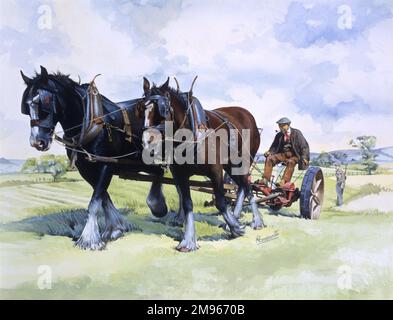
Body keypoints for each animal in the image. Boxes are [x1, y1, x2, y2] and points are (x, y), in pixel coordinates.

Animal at [19, 65, 168, 250]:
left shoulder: (106, 165)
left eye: (43, 103)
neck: (90, 120)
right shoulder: (87, 169)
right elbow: (104, 198)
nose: (37, 142)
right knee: (159, 173)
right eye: (26, 108)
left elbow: (95, 202)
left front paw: (89, 239)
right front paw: (115, 229)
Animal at [138, 78, 264, 252]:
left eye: (163, 109)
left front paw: (235, 228)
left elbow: (220, 202)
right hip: (230, 165)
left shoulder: (215, 170)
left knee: (247, 186)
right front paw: (188, 240)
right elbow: (187, 202)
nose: (148, 141)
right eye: (143, 106)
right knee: (241, 187)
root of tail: (248, 116)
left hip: (242, 162)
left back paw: (255, 221)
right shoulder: (180, 174)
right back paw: (236, 216)